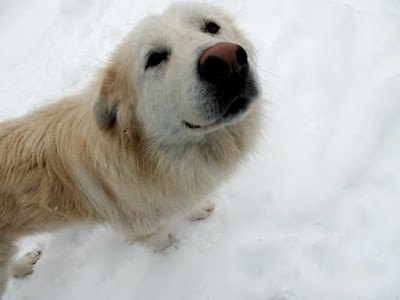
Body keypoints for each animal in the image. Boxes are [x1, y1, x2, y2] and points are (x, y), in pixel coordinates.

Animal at [0, 1, 262, 296]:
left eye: (211, 27)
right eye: (154, 58)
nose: (227, 61)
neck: (158, 157)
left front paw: (197, 209)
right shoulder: (146, 230)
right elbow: (163, 243)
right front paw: (172, 259)